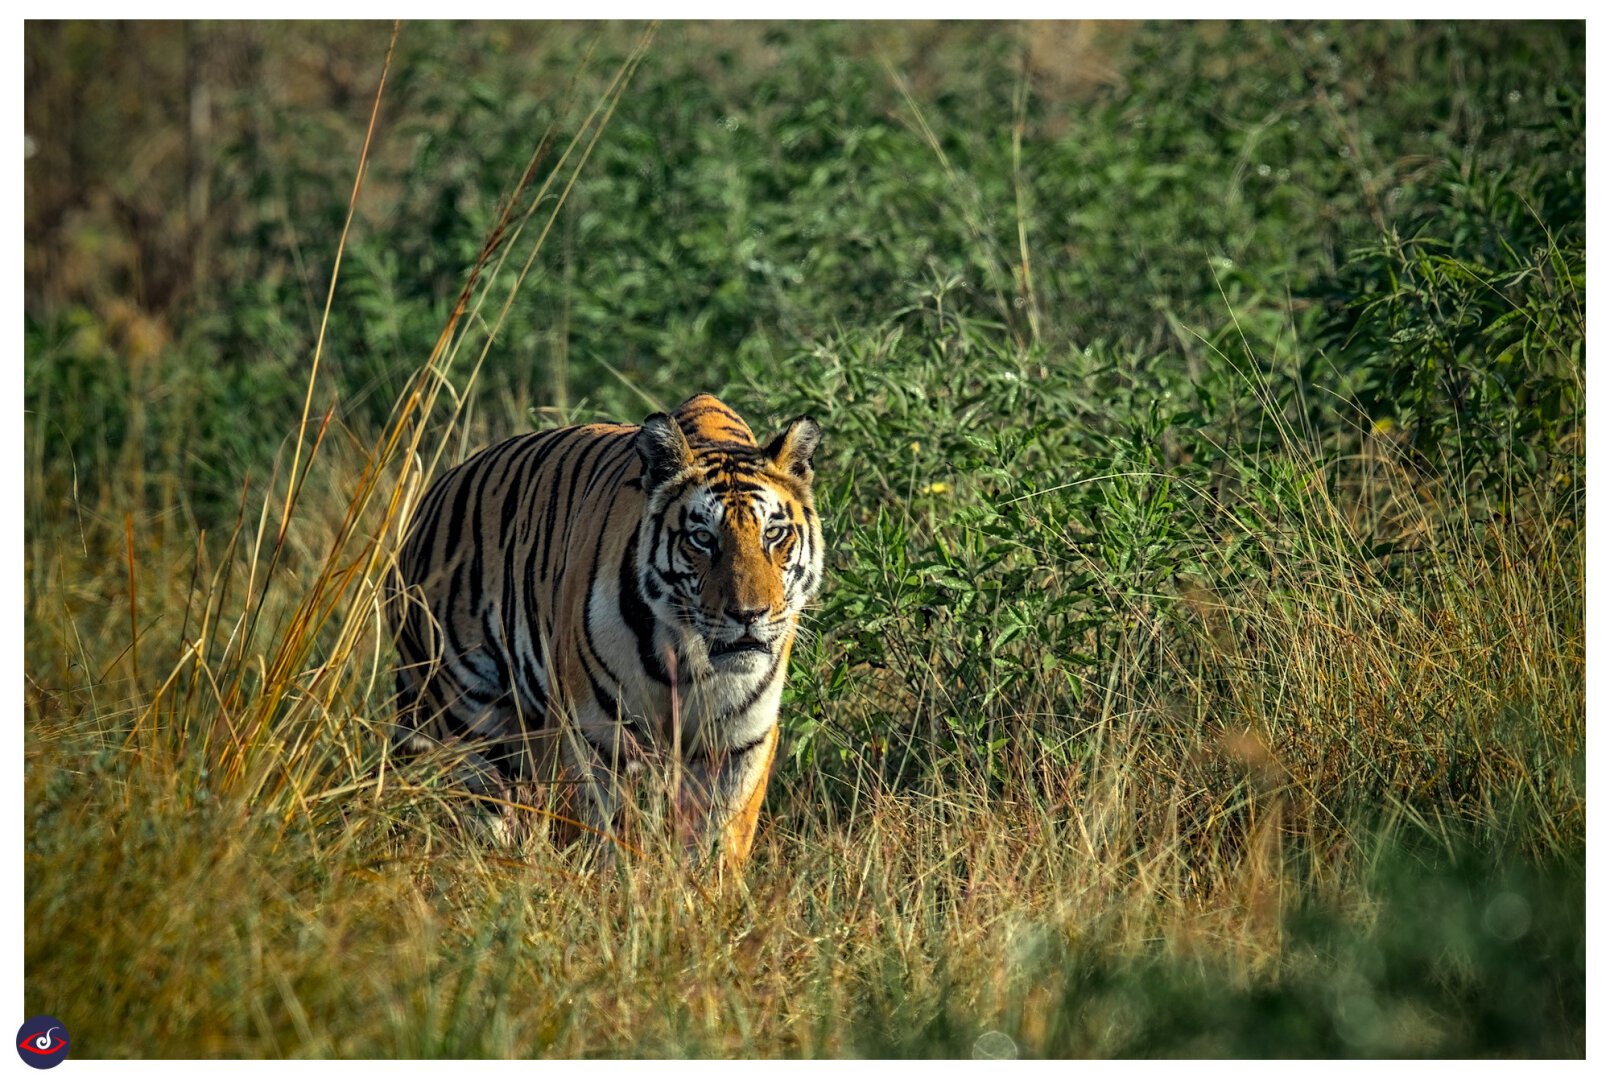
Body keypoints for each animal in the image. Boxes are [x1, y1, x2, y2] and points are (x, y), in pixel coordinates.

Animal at [384, 394, 824, 869]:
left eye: (773, 533)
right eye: (703, 538)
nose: (749, 613)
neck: (687, 654)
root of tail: (428, 504)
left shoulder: (738, 741)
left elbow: (718, 839)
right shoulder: (592, 734)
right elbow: (603, 836)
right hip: (474, 722)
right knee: (491, 815)